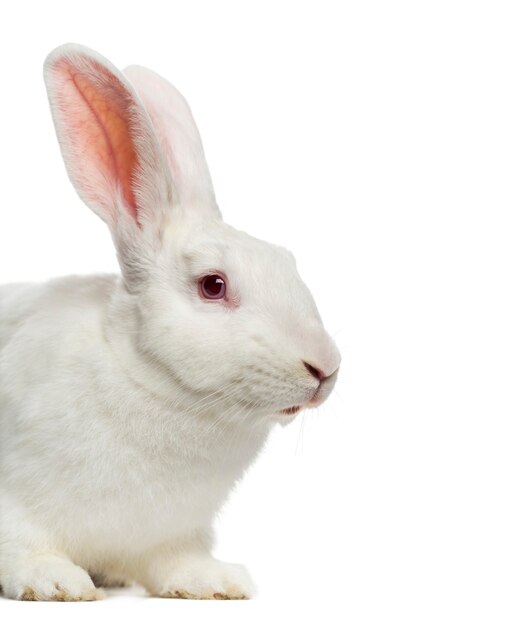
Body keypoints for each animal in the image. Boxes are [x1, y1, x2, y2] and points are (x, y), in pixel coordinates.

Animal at [0, 44, 342, 600]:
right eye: (213, 285)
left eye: (288, 261)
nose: (325, 368)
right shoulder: (13, 502)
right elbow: (24, 547)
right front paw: (55, 581)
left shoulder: (171, 533)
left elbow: (176, 562)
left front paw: (217, 581)